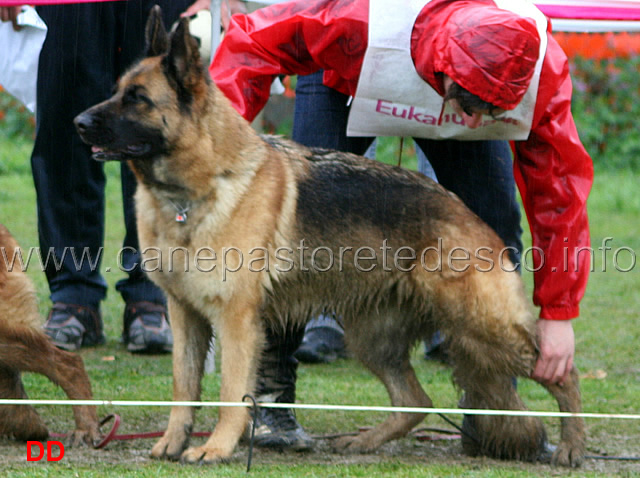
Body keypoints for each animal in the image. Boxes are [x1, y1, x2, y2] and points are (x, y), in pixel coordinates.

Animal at [74, 6, 584, 466]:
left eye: (138, 98)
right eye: (118, 92)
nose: (77, 122)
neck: (198, 188)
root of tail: (466, 213)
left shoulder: (236, 323)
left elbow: (229, 392)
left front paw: (216, 448)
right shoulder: (185, 317)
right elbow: (184, 387)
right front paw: (172, 442)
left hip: (482, 325)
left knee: (562, 371)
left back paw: (570, 444)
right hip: (375, 339)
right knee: (415, 400)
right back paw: (364, 441)